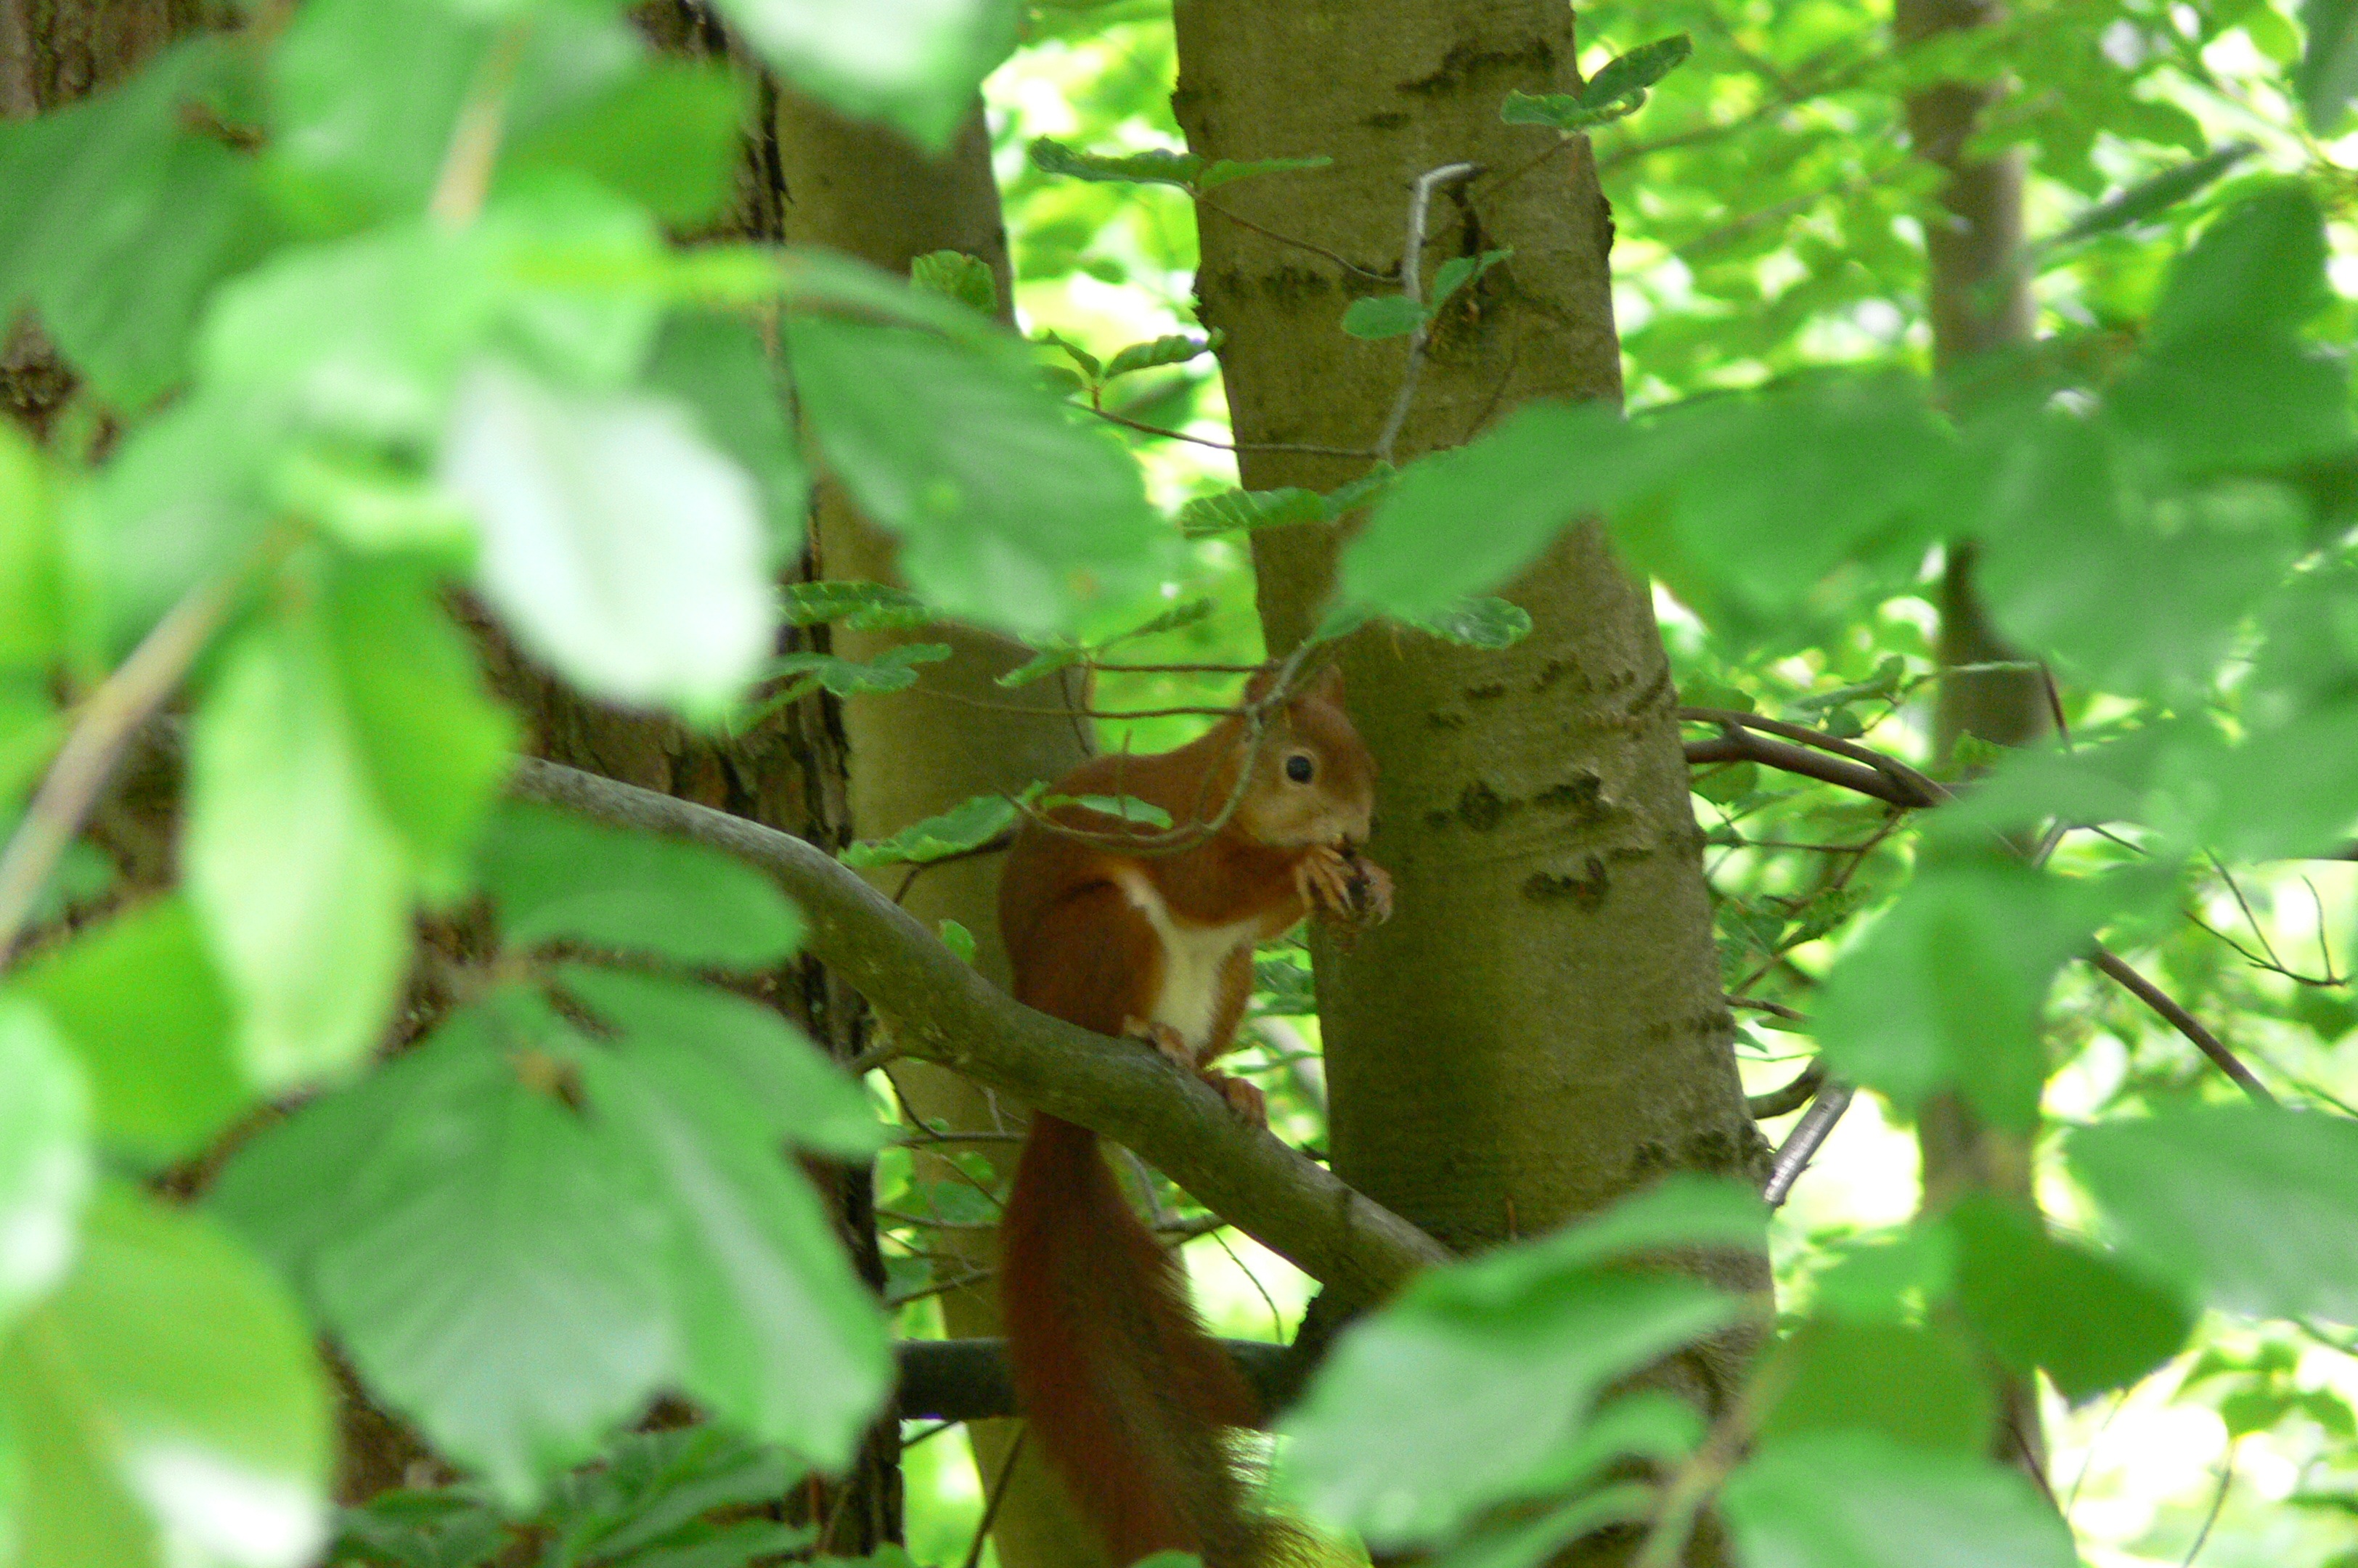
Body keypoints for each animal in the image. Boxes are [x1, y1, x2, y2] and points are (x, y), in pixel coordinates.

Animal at [990, 664, 1376, 1565]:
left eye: (1367, 756)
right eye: (1300, 768)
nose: (1355, 832)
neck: (1226, 794)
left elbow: (1247, 912)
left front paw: (1372, 882)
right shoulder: (1170, 833)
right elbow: (1208, 888)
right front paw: (1306, 865)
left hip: (1229, 978)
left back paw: (1224, 1083)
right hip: (1102, 933)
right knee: (1119, 976)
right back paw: (1143, 1033)